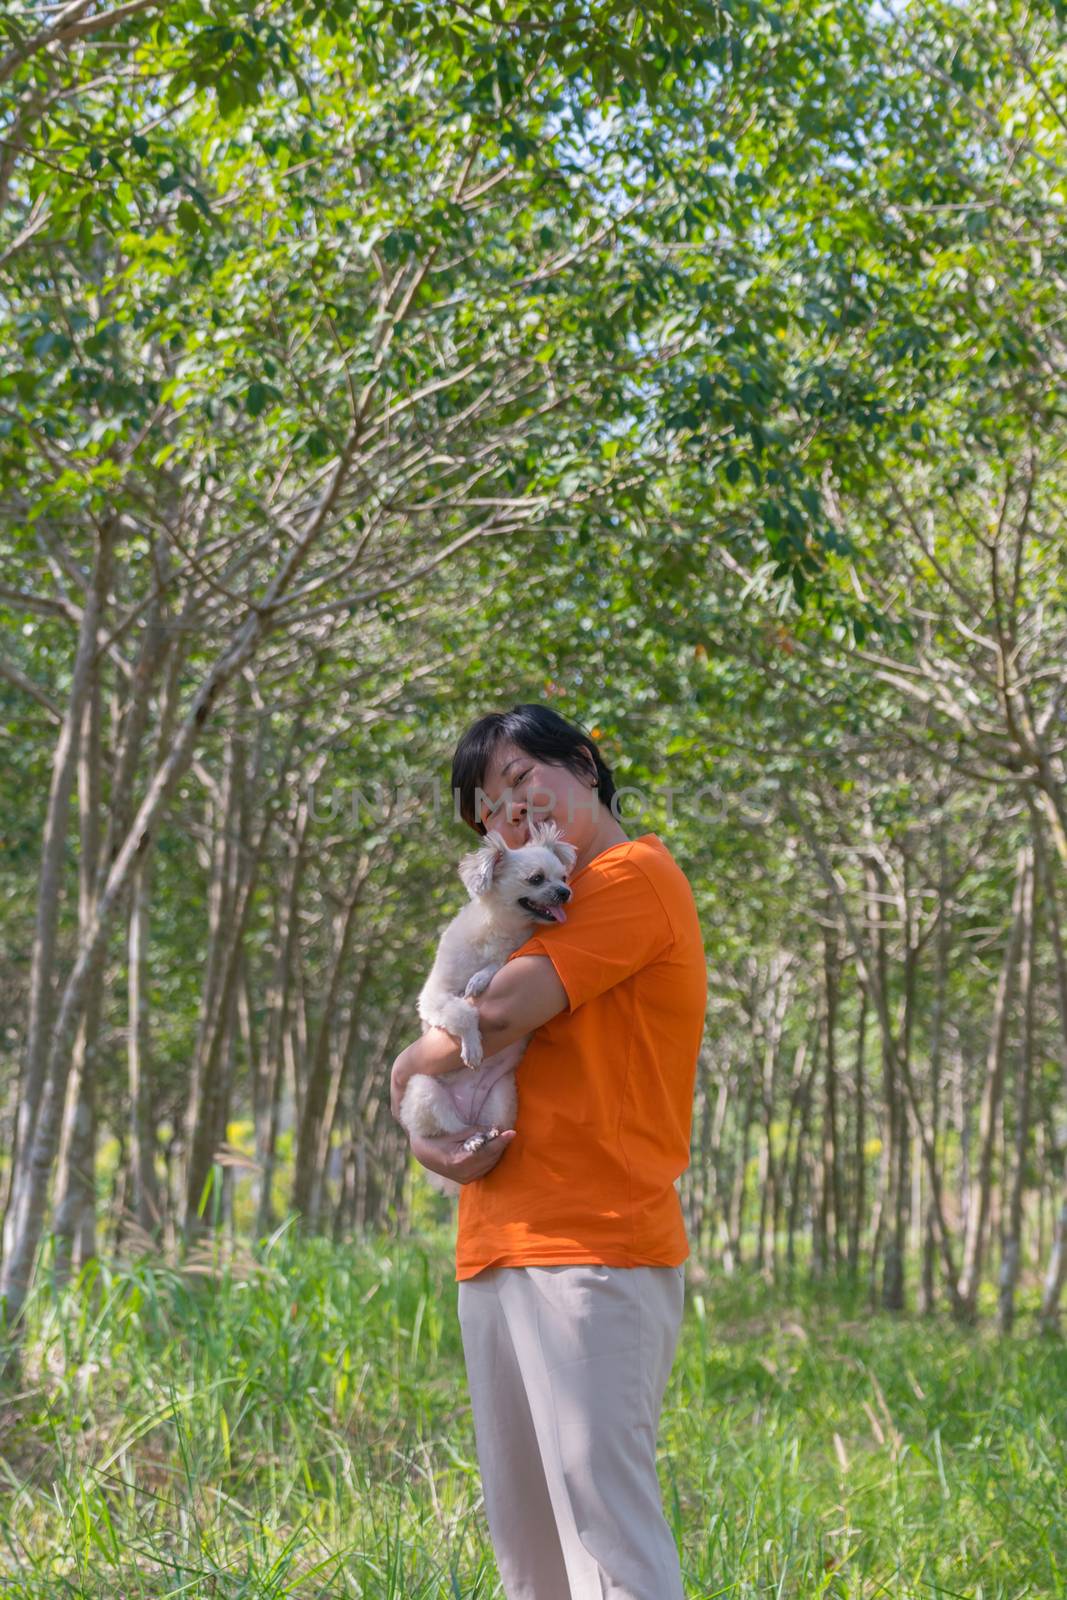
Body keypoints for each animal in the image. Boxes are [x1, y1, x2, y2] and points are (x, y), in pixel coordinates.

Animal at [396, 819, 575, 1196]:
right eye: (536, 879)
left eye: (564, 877)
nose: (566, 892)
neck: (500, 930)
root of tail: (472, 1113)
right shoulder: (434, 996)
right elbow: (462, 1011)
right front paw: (473, 1045)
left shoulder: (513, 955)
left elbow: (494, 968)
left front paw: (480, 979)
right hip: (425, 1091)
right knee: (449, 1131)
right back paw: (470, 1142)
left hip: (502, 1096)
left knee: (487, 1127)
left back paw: (485, 1137)